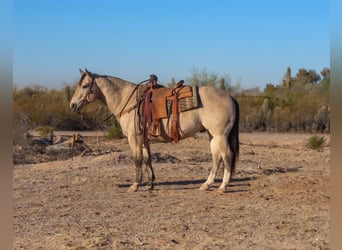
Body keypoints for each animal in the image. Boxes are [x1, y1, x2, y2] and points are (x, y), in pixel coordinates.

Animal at [70, 68, 240, 193]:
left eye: (84, 86)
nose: (72, 105)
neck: (127, 100)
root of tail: (230, 96)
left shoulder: (134, 138)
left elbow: (137, 159)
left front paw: (135, 185)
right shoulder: (144, 139)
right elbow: (147, 159)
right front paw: (150, 183)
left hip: (220, 135)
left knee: (227, 156)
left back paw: (222, 186)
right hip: (213, 136)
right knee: (216, 157)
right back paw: (206, 184)